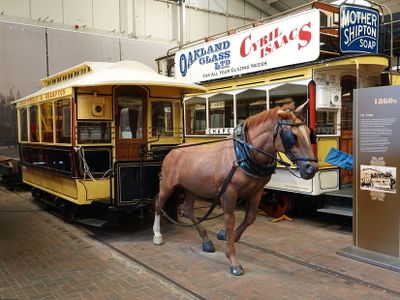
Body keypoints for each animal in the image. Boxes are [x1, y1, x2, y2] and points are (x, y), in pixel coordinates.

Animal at [152, 102, 318, 276]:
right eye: (291, 136)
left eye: (309, 133)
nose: (311, 168)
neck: (243, 155)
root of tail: (173, 150)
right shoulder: (229, 192)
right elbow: (230, 220)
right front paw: (233, 259)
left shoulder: (257, 191)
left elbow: (250, 218)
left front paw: (225, 236)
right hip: (167, 185)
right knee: (158, 204)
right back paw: (157, 235)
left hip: (192, 187)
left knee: (187, 208)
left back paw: (206, 240)